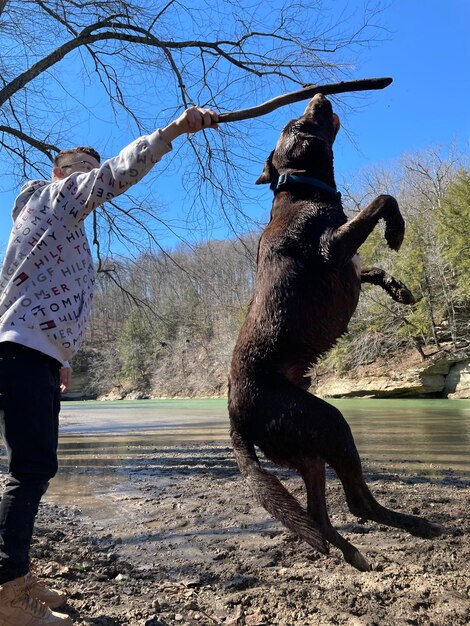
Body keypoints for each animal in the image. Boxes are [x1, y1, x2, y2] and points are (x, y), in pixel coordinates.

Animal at [228, 94, 440, 572]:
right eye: (300, 120)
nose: (319, 95)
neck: (303, 190)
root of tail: (234, 420)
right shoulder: (332, 248)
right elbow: (382, 198)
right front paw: (397, 230)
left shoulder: (348, 261)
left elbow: (371, 268)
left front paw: (398, 289)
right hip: (328, 424)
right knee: (356, 503)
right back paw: (415, 526)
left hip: (305, 453)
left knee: (319, 517)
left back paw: (355, 552)